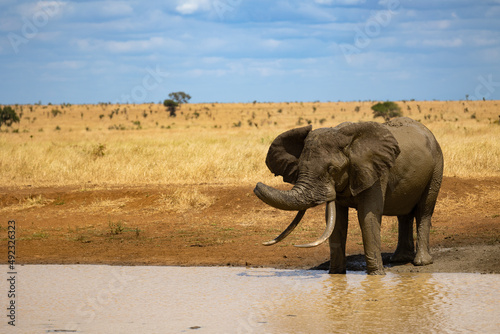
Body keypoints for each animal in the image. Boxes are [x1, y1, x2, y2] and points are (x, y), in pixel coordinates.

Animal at [256, 117, 444, 274]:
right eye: (299, 166)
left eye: (332, 169)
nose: (256, 186)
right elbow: (337, 221)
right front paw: (336, 276)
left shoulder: (375, 172)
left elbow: (367, 216)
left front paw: (377, 276)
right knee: (404, 215)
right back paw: (399, 259)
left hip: (437, 167)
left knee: (424, 211)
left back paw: (421, 262)